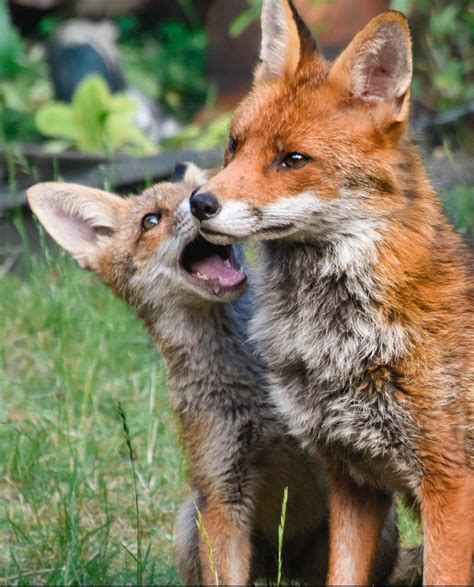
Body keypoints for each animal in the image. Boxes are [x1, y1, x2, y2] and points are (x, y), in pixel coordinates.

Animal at [190, 2, 474, 584]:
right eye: (234, 145)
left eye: (293, 160)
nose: (199, 203)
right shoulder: (353, 479)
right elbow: (342, 573)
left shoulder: (450, 486)